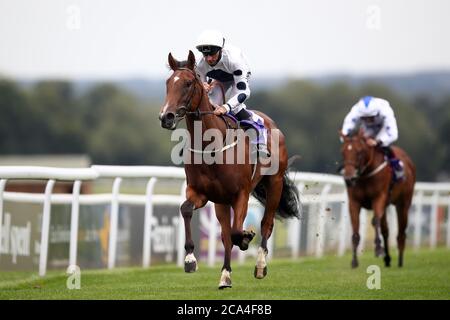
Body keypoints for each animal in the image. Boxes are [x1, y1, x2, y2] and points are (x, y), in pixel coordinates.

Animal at [160, 51, 300, 288]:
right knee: (225, 235)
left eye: (188, 83)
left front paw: (245, 237)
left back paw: (260, 265)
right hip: (221, 202)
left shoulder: (241, 193)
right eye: (168, 83)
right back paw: (225, 275)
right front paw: (190, 259)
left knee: (267, 224)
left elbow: (236, 232)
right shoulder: (201, 193)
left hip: (275, 183)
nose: (166, 117)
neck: (211, 145)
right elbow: (187, 210)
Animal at [342, 129, 414, 268]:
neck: (365, 175)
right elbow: (355, 231)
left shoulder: (379, 198)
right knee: (386, 231)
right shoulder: (354, 202)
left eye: (359, 152)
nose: (349, 179)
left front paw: (378, 249)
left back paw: (400, 260)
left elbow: (375, 221)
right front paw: (354, 261)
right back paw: (387, 258)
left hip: (403, 204)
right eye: (343, 152)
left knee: (401, 232)